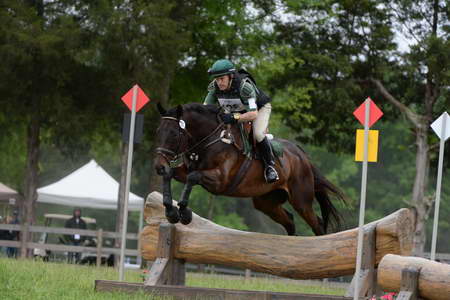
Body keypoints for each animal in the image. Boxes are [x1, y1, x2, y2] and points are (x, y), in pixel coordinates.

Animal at [153, 103, 346, 237]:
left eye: (174, 134)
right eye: (158, 131)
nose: (158, 166)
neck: (210, 140)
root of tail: (301, 155)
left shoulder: (220, 180)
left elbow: (193, 177)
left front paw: (184, 213)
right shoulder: (186, 170)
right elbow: (172, 174)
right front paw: (171, 212)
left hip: (301, 201)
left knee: (317, 224)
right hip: (266, 202)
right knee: (290, 221)